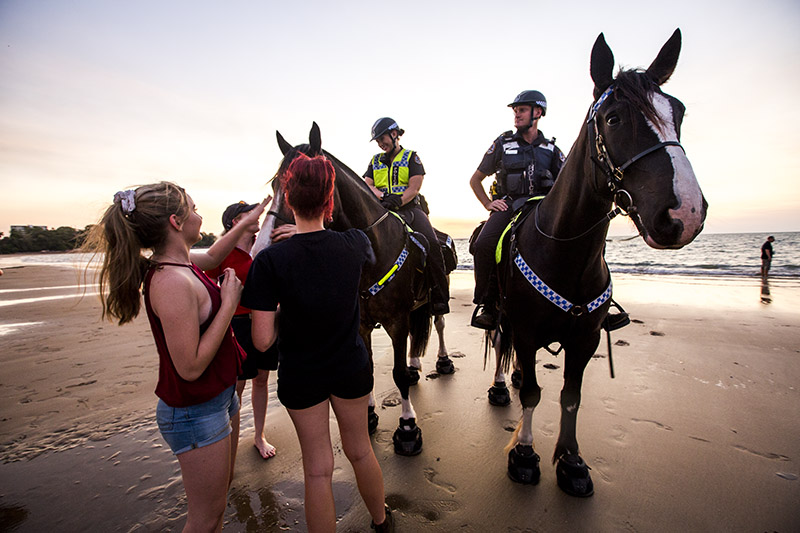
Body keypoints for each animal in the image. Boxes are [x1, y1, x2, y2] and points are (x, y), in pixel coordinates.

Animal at [255, 123, 446, 454]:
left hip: (434, 300)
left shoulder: (396, 321)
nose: (263, 246)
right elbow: (366, 369)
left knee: (440, 324)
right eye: (276, 185)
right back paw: (415, 365)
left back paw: (444, 361)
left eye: (307, 184)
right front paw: (367, 415)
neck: (373, 252)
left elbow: (396, 374)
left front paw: (408, 427)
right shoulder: (363, 324)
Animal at [500, 28, 708, 494]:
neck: (567, 252)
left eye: (679, 113)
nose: (684, 213)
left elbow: (570, 397)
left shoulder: (586, 340)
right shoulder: (525, 330)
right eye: (613, 119)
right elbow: (533, 394)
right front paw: (524, 454)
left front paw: (571, 460)